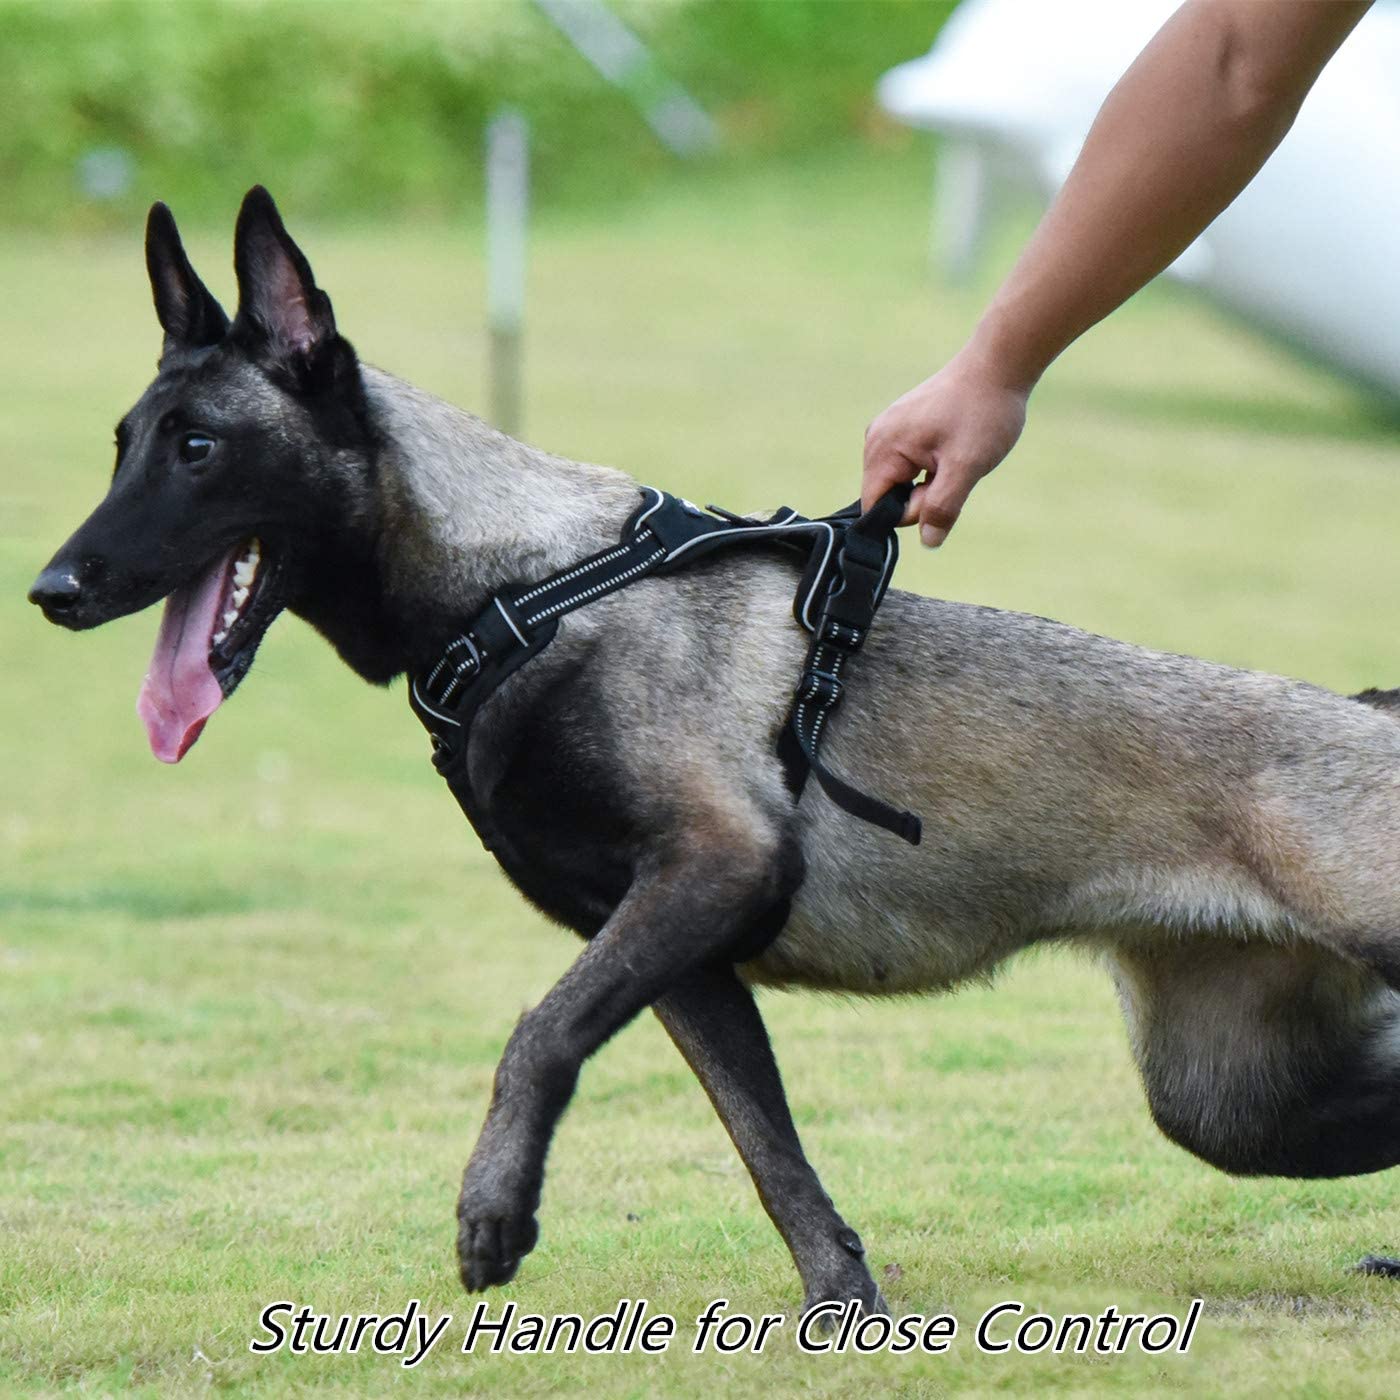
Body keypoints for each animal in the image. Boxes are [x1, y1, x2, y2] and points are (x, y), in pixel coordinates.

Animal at [27, 189, 1400, 1310]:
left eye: (198, 447)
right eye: (122, 444)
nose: (50, 590)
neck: (519, 587)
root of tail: (1367, 710)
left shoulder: (710, 866)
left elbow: (537, 1033)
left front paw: (492, 1210)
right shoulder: (678, 955)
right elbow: (770, 1153)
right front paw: (844, 1311)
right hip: (1234, 1101)